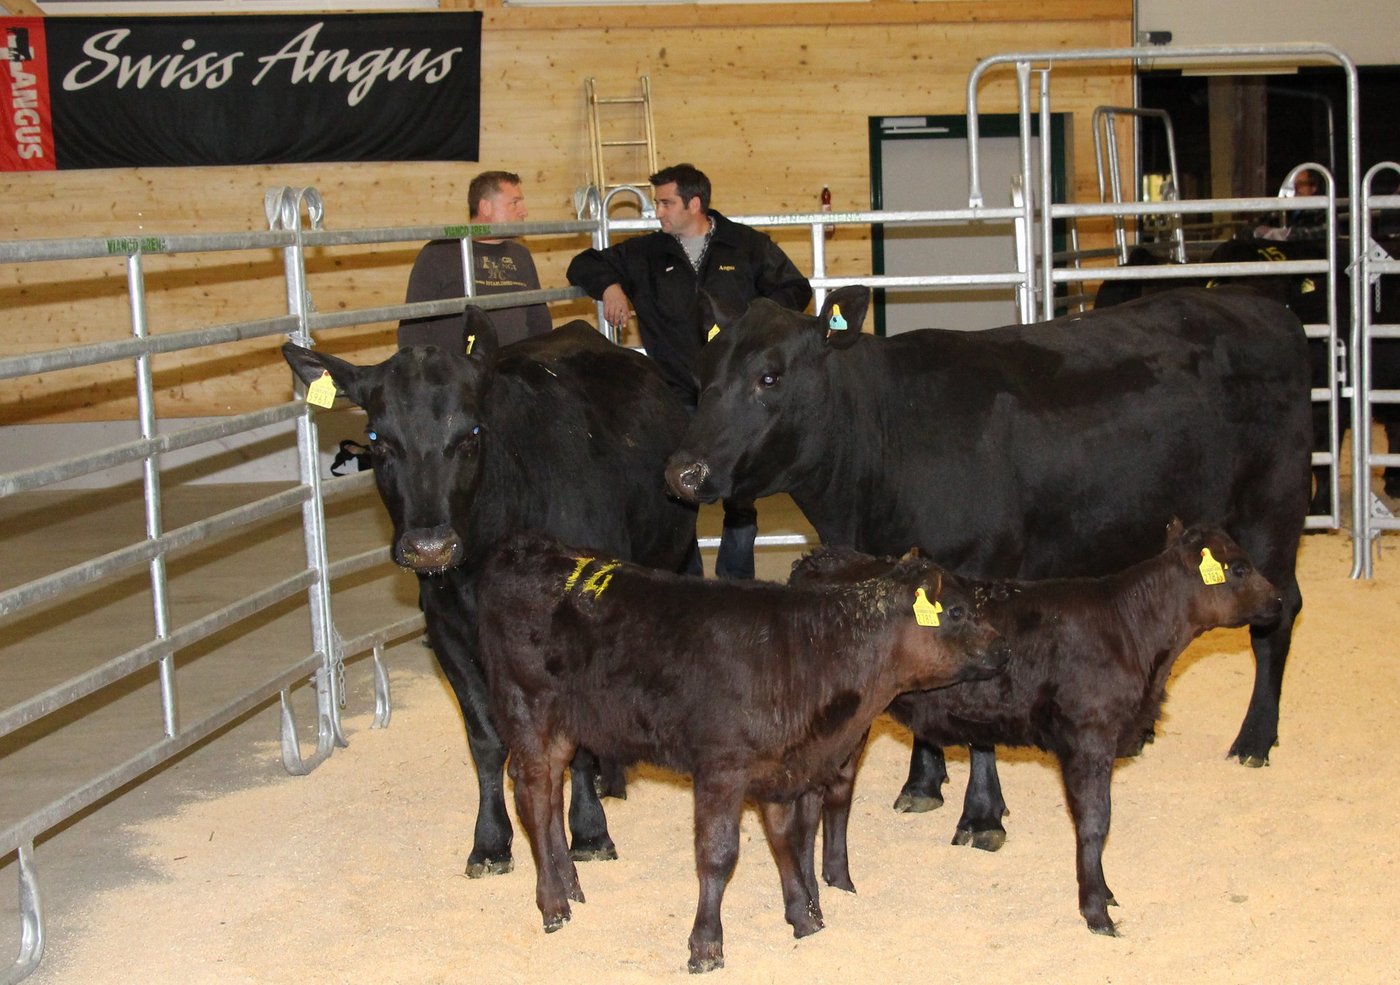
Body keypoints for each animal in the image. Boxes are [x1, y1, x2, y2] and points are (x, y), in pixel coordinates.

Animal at [281, 311, 698, 879]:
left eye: (471, 434)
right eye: (377, 438)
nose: (430, 547)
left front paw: (589, 831)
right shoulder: (448, 629)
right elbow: (484, 738)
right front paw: (491, 841)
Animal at [475, 532, 1007, 973]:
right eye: (956, 612)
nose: (1003, 650)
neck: (812, 653)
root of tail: (527, 547)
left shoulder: (783, 767)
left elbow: (788, 840)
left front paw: (805, 918)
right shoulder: (721, 767)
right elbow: (718, 854)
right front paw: (706, 946)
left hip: (565, 725)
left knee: (549, 795)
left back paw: (570, 886)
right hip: (526, 707)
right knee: (532, 795)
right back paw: (553, 904)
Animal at [664, 284, 1311, 849]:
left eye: (769, 377)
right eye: (703, 377)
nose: (683, 472)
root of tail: (1260, 306)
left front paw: (981, 815)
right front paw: (923, 783)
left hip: (1272, 514)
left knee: (1278, 616)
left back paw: (1256, 738)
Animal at [791, 522, 1282, 936]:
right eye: (1239, 568)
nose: (1277, 601)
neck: (1134, 632)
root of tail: (823, 558)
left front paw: (1104, 895)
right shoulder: (1090, 737)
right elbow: (1095, 822)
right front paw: (1096, 910)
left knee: (837, 794)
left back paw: (840, 881)